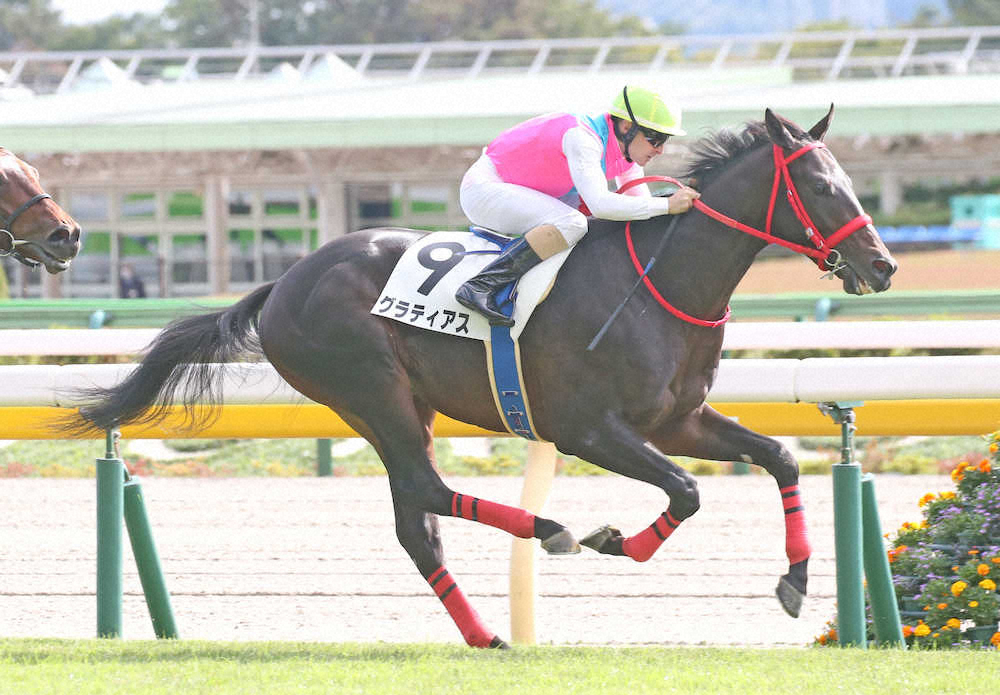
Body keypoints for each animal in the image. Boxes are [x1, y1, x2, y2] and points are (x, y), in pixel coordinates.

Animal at [64, 107, 897, 648]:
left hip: (400, 404)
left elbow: (779, 456)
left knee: (416, 519)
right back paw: (550, 532)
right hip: (373, 391)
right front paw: (615, 540)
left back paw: (487, 632)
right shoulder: (588, 429)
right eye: (824, 187)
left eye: (852, 181)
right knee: (427, 492)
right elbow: (687, 491)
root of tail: (284, 281)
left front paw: (794, 581)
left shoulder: (676, 420)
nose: (883, 265)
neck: (663, 280)